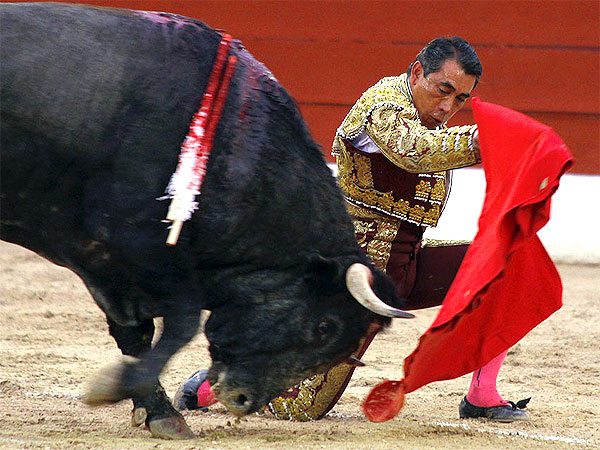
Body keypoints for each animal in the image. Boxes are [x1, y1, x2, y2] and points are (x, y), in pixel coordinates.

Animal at [0, 3, 413, 439]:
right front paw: (115, 390)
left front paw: (155, 410)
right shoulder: (136, 243)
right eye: (324, 327)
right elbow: (181, 322)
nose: (242, 400)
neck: (233, 146)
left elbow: (137, 332)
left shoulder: (107, 262)